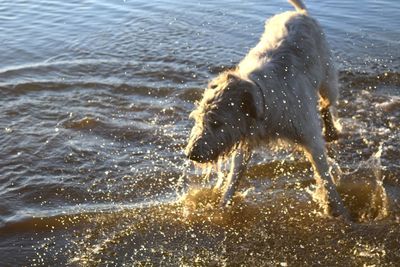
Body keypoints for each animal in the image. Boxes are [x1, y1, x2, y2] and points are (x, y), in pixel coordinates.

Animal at [184, 0, 346, 218]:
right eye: (198, 119)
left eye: (217, 123)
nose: (189, 153)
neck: (263, 99)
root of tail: (301, 13)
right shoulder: (245, 136)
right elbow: (235, 174)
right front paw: (224, 204)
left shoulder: (309, 135)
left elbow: (323, 172)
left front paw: (336, 207)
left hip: (328, 78)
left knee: (327, 105)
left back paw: (330, 130)